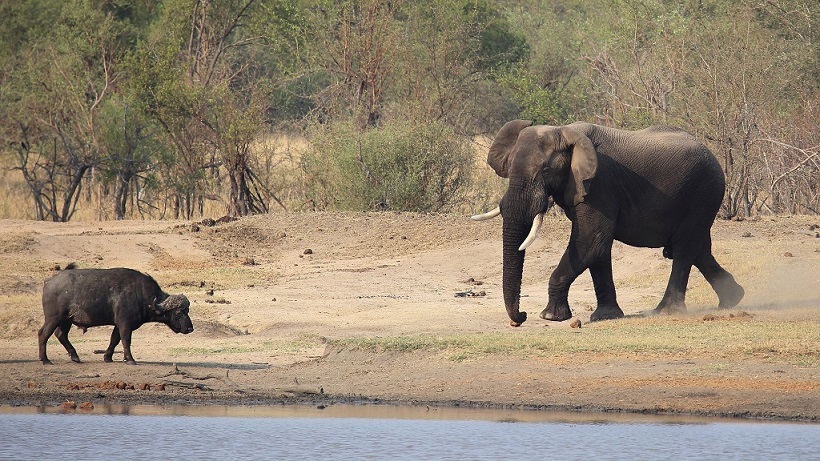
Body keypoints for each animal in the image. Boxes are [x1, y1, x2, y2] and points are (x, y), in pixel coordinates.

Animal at [472, 120, 744, 326]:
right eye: (508, 168)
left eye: (546, 171)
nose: (520, 317)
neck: (563, 131)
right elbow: (598, 249)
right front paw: (606, 316)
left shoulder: (599, 185)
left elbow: (590, 241)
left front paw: (550, 317)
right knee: (697, 248)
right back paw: (733, 299)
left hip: (704, 191)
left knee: (684, 248)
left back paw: (665, 311)